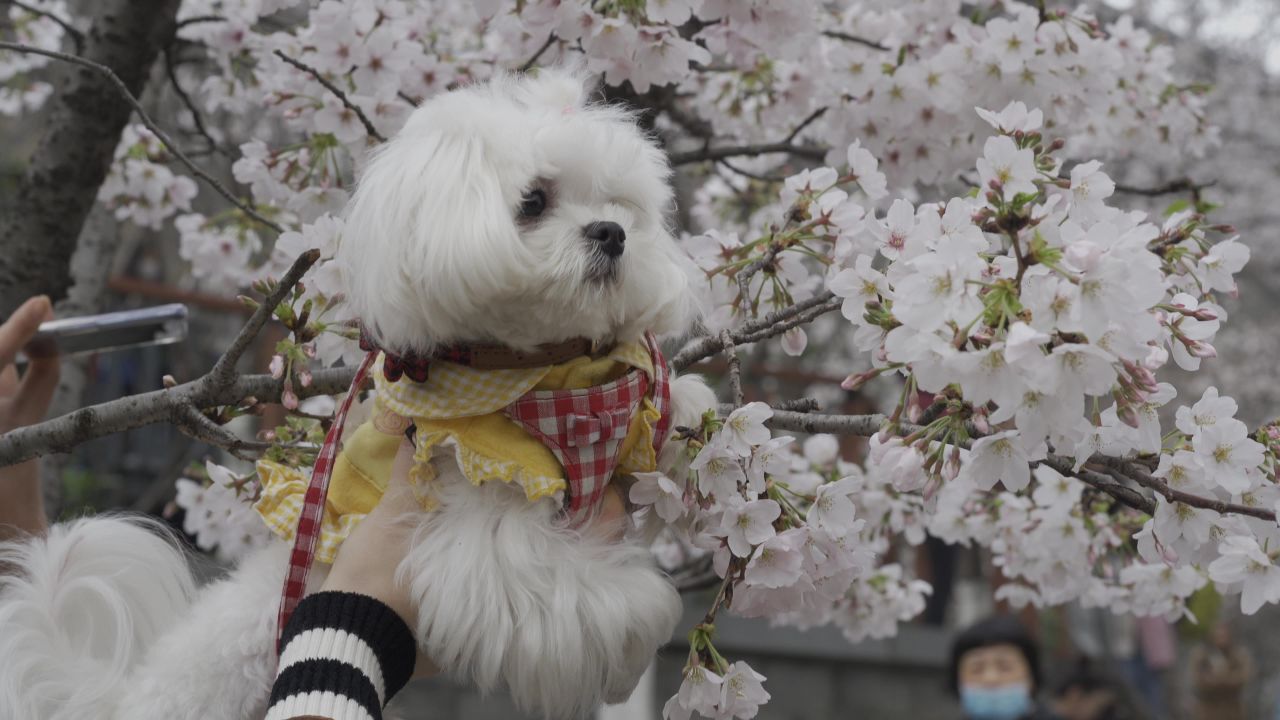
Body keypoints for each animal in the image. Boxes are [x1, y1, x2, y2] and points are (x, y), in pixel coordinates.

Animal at [0, 68, 721, 717]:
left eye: (622, 206)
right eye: (534, 201)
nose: (612, 234)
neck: (539, 371)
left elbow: (662, 418)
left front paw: (688, 417)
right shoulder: (480, 525)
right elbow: (576, 598)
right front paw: (641, 624)